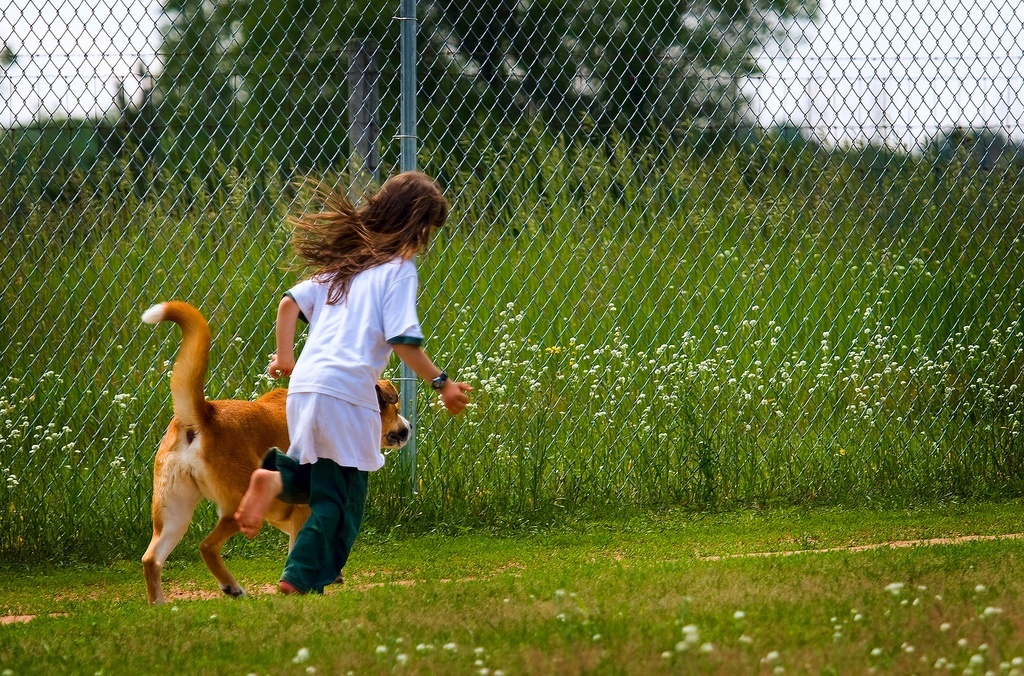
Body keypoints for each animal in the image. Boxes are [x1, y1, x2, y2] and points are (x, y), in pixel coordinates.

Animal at [141, 301, 411, 602]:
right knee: (206, 546)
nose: (408, 428)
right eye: (395, 409)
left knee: (151, 558)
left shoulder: (290, 512)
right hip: (238, 504)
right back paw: (231, 587)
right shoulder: (306, 507)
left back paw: (159, 604)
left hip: (173, 514)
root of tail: (204, 414)